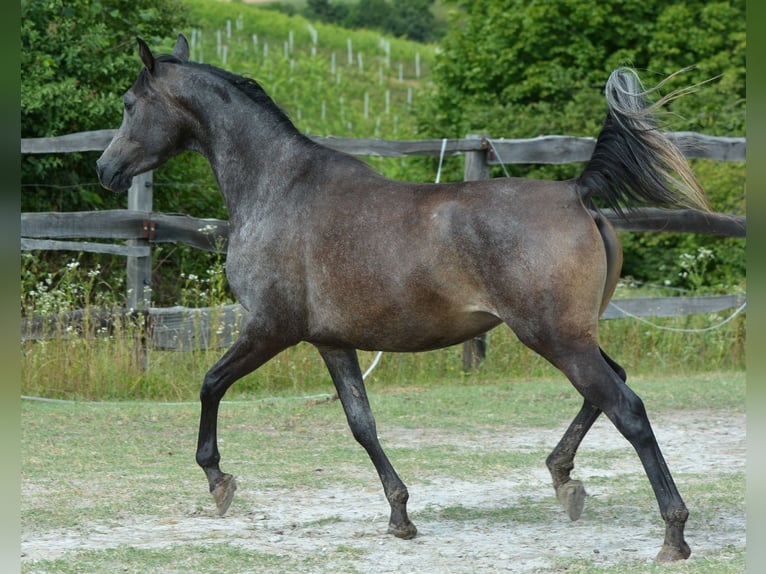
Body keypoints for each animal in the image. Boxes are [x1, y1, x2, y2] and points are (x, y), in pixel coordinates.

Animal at [97, 34, 711, 562]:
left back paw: (672, 535)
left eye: (128, 103)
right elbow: (361, 424)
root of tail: (575, 192)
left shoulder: (270, 328)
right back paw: (565, 480)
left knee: (627, 409)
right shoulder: (332, 342)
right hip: (570, 334)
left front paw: (218, 479)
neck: (279, 188)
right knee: (612, 387)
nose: (105, 168)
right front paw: (400, 516)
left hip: (555, 337)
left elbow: (210, 384)